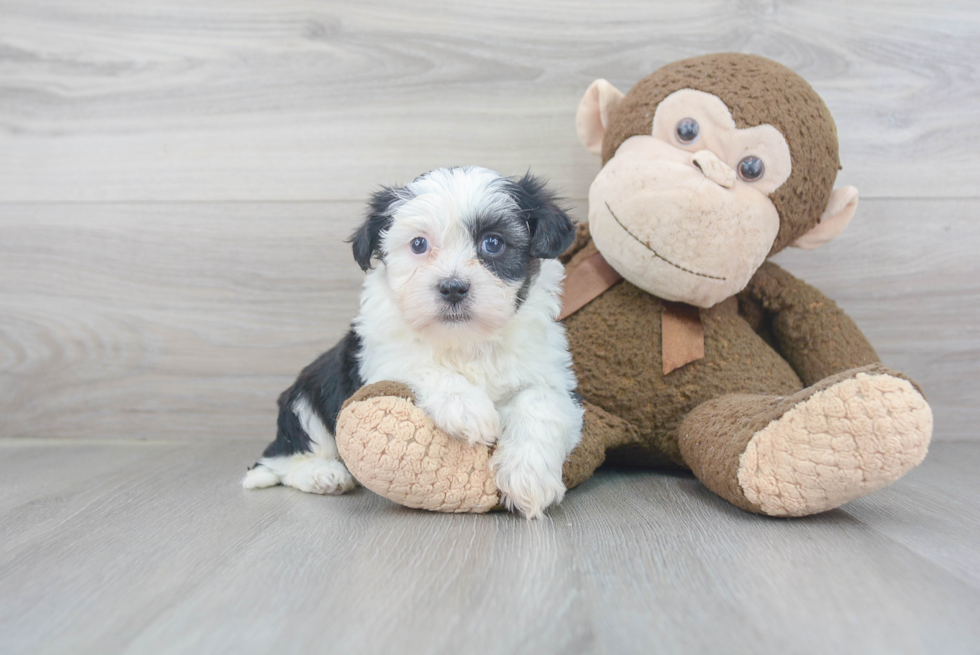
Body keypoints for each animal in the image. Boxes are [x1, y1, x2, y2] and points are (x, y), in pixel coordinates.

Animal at [243, 167, 580, 520]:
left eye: (493, 243)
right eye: (419, 244)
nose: (453, 287)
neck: (465, 339)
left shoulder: (550, 375)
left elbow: (540, 402)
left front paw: (528, 477)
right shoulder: (378, 358)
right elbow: (419, 364)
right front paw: (468, 408)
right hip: (307, 394)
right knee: (285, 456)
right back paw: (323, 474)